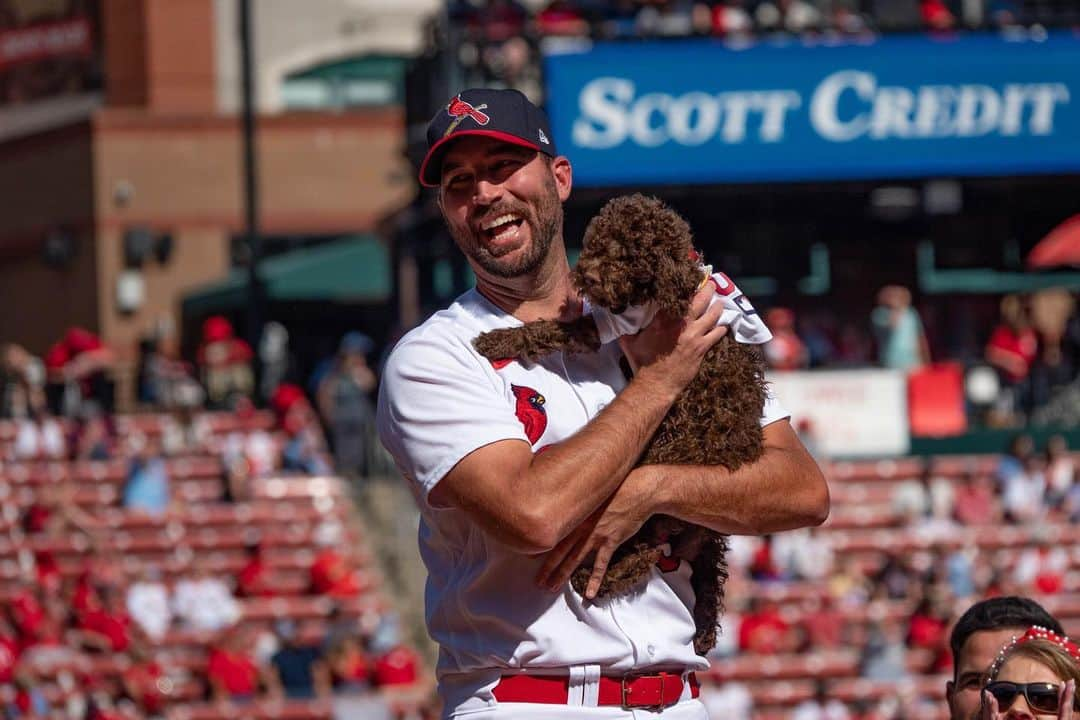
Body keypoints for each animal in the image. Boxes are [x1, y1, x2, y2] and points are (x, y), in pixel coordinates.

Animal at [473, 194, 768, 656]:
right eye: (599, 240)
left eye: (631, 256)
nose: (590, 276)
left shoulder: (606, 325)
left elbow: (550, 328)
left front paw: (498, 339)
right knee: (706, 575)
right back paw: (702, 632)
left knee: (629, 558)